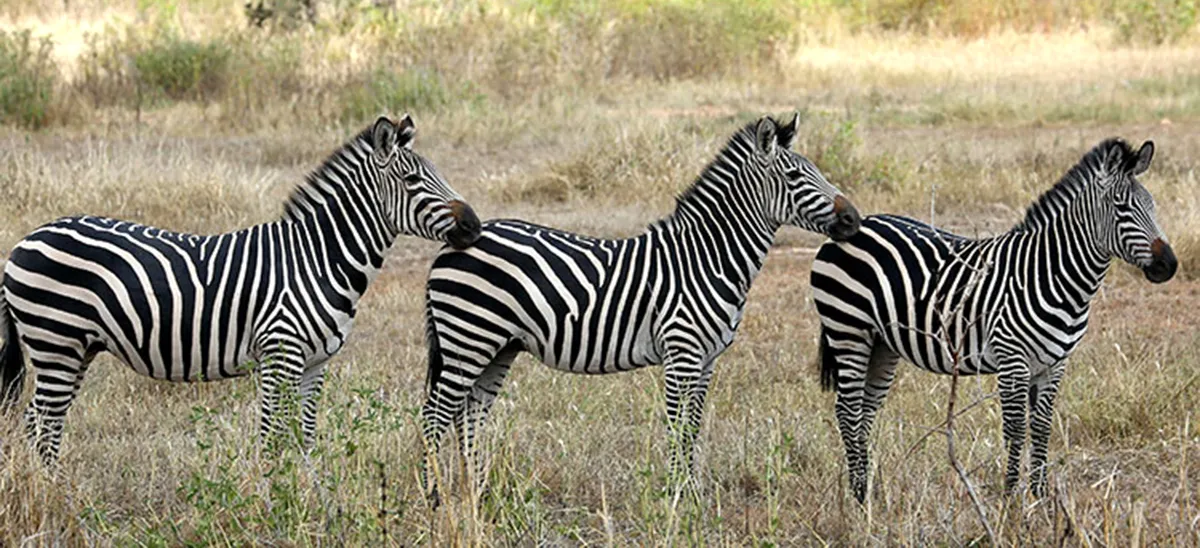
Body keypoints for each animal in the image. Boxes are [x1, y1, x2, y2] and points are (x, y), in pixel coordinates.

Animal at [0, 115, 482, 463]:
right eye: (412, 181)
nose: (475, 226)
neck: (319, 259)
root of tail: (25, 240)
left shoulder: (315, 363)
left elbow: (305, 439)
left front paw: (311, 503)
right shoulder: (279, 355)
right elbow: (271, 438)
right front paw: (273, 507)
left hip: (75, 349)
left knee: (38, 421)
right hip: (55, 343)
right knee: (44, 424)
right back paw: (56, 496)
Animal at [418, 114, 862, 502]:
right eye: (795, 178)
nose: (854, 220)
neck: (707, 258)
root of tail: (451, 245)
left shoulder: (707, 359)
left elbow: (692, 428)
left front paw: (692, 495)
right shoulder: (682, 352)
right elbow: (677, 427)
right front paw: (676, 498)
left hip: (498, 346)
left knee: (468, 415)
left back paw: (476, 494)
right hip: (469, 338)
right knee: (435, 414)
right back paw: (434, 497)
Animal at [811, 138, 1176, 503]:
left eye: (1153, 205)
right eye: (1121, 207)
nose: (1168, 266)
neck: (1050, 274)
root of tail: (856, 224)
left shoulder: (1055, 363)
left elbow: (1041, 427)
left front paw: (1040, 499)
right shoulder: (1012, 359)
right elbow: (1015, 429)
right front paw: (1010, 499)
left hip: (882, 344)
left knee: (866, 410)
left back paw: (868, 493)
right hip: (848, 331)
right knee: (848, 410)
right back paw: (859, 495)